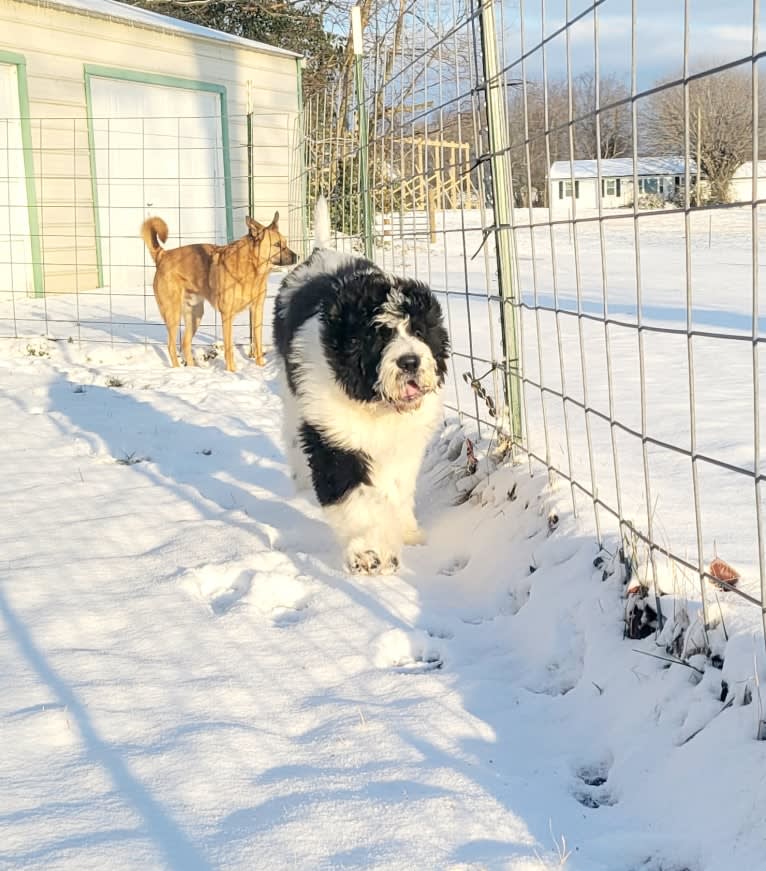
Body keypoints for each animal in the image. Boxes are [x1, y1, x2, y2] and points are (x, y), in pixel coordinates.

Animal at [142, 216, 298, 372]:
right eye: (277, 244)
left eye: (285, 243)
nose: (297, 257)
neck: (250, 267)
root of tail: (163, 255)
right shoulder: (227, 315)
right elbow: (229, 347)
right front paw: (232, 371)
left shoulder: (257, 309)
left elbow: (258, 342)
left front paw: (260, 366)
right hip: (173, 314)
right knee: (171, 346)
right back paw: (178, 370)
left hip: (195, 314)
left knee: (185, 343)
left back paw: (193, 370)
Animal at [274, 199, 450, 580]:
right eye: (378, 336)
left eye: (419, 330)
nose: (410, 362)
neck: (373, 403)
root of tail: (322, 251)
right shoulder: (332, 438)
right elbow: (353, 500)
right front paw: (369, 553)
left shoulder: (403, 442)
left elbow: (397, 490)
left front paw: (402, 534)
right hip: (291, 394)